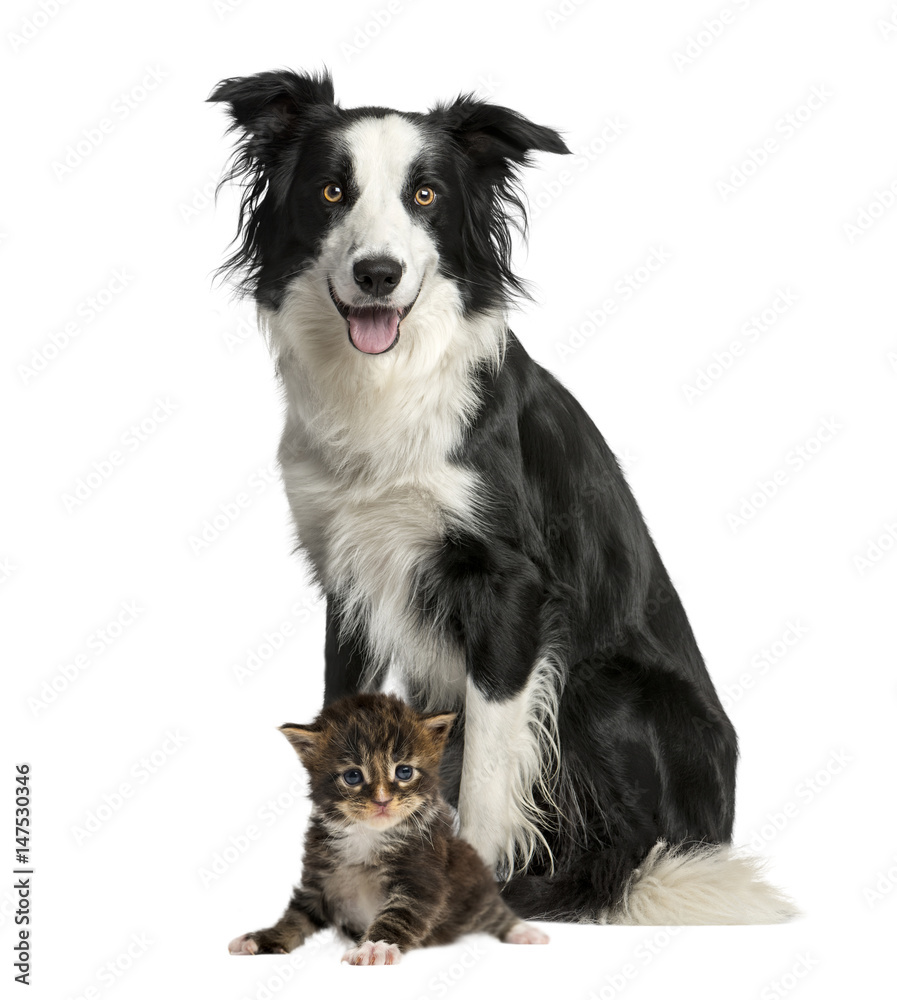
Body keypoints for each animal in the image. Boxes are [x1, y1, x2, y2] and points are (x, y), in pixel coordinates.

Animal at [214, 72, 796, 928]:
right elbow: (343, 717)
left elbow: (492, 766)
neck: (388, 389)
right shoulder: (347, 573)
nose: (377, 273)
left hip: (603, 689)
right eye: (330, 191)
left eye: (424, 194)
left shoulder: (508, 585)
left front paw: (471, 893)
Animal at [228, 692, 544, 964]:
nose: (382, 800)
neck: (366, 836)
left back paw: (524, 932)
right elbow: (296, 916)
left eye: (404, 771)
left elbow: (397, 915)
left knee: (495, 912)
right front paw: (262, 938)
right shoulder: (318, 883)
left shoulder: (421, 880)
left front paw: (375, 947)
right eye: (353, 776)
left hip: (475, 889)